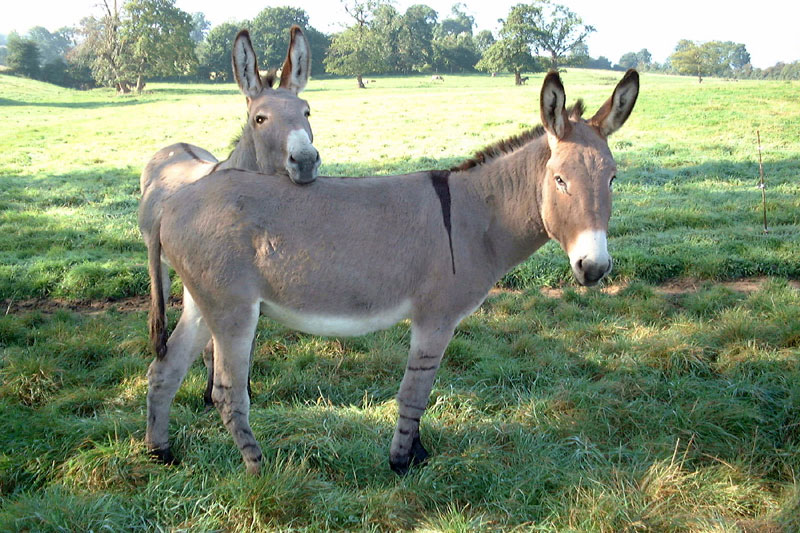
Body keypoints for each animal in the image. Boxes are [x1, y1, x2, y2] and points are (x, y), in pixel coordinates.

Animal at [138, 26, 320, 406]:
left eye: (307, 112)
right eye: (259, 119)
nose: (306, 161)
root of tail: (176, 144)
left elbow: (246, 345)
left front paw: (243, 387)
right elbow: (217, 345)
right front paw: (212, 393)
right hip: (157, 262)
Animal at [144, 69, 639, 474]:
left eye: (614, 179)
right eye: (560, 181)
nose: (594, 268)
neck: (477, 216)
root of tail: (173, 202)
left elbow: (421, 392)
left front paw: (417, 452)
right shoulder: (435, 318)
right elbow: (415, 392)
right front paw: (402, 462)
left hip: (200, 302)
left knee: (165, 369)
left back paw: (160, 452)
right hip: (232, 310)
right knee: (228, 392)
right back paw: (259, 468)